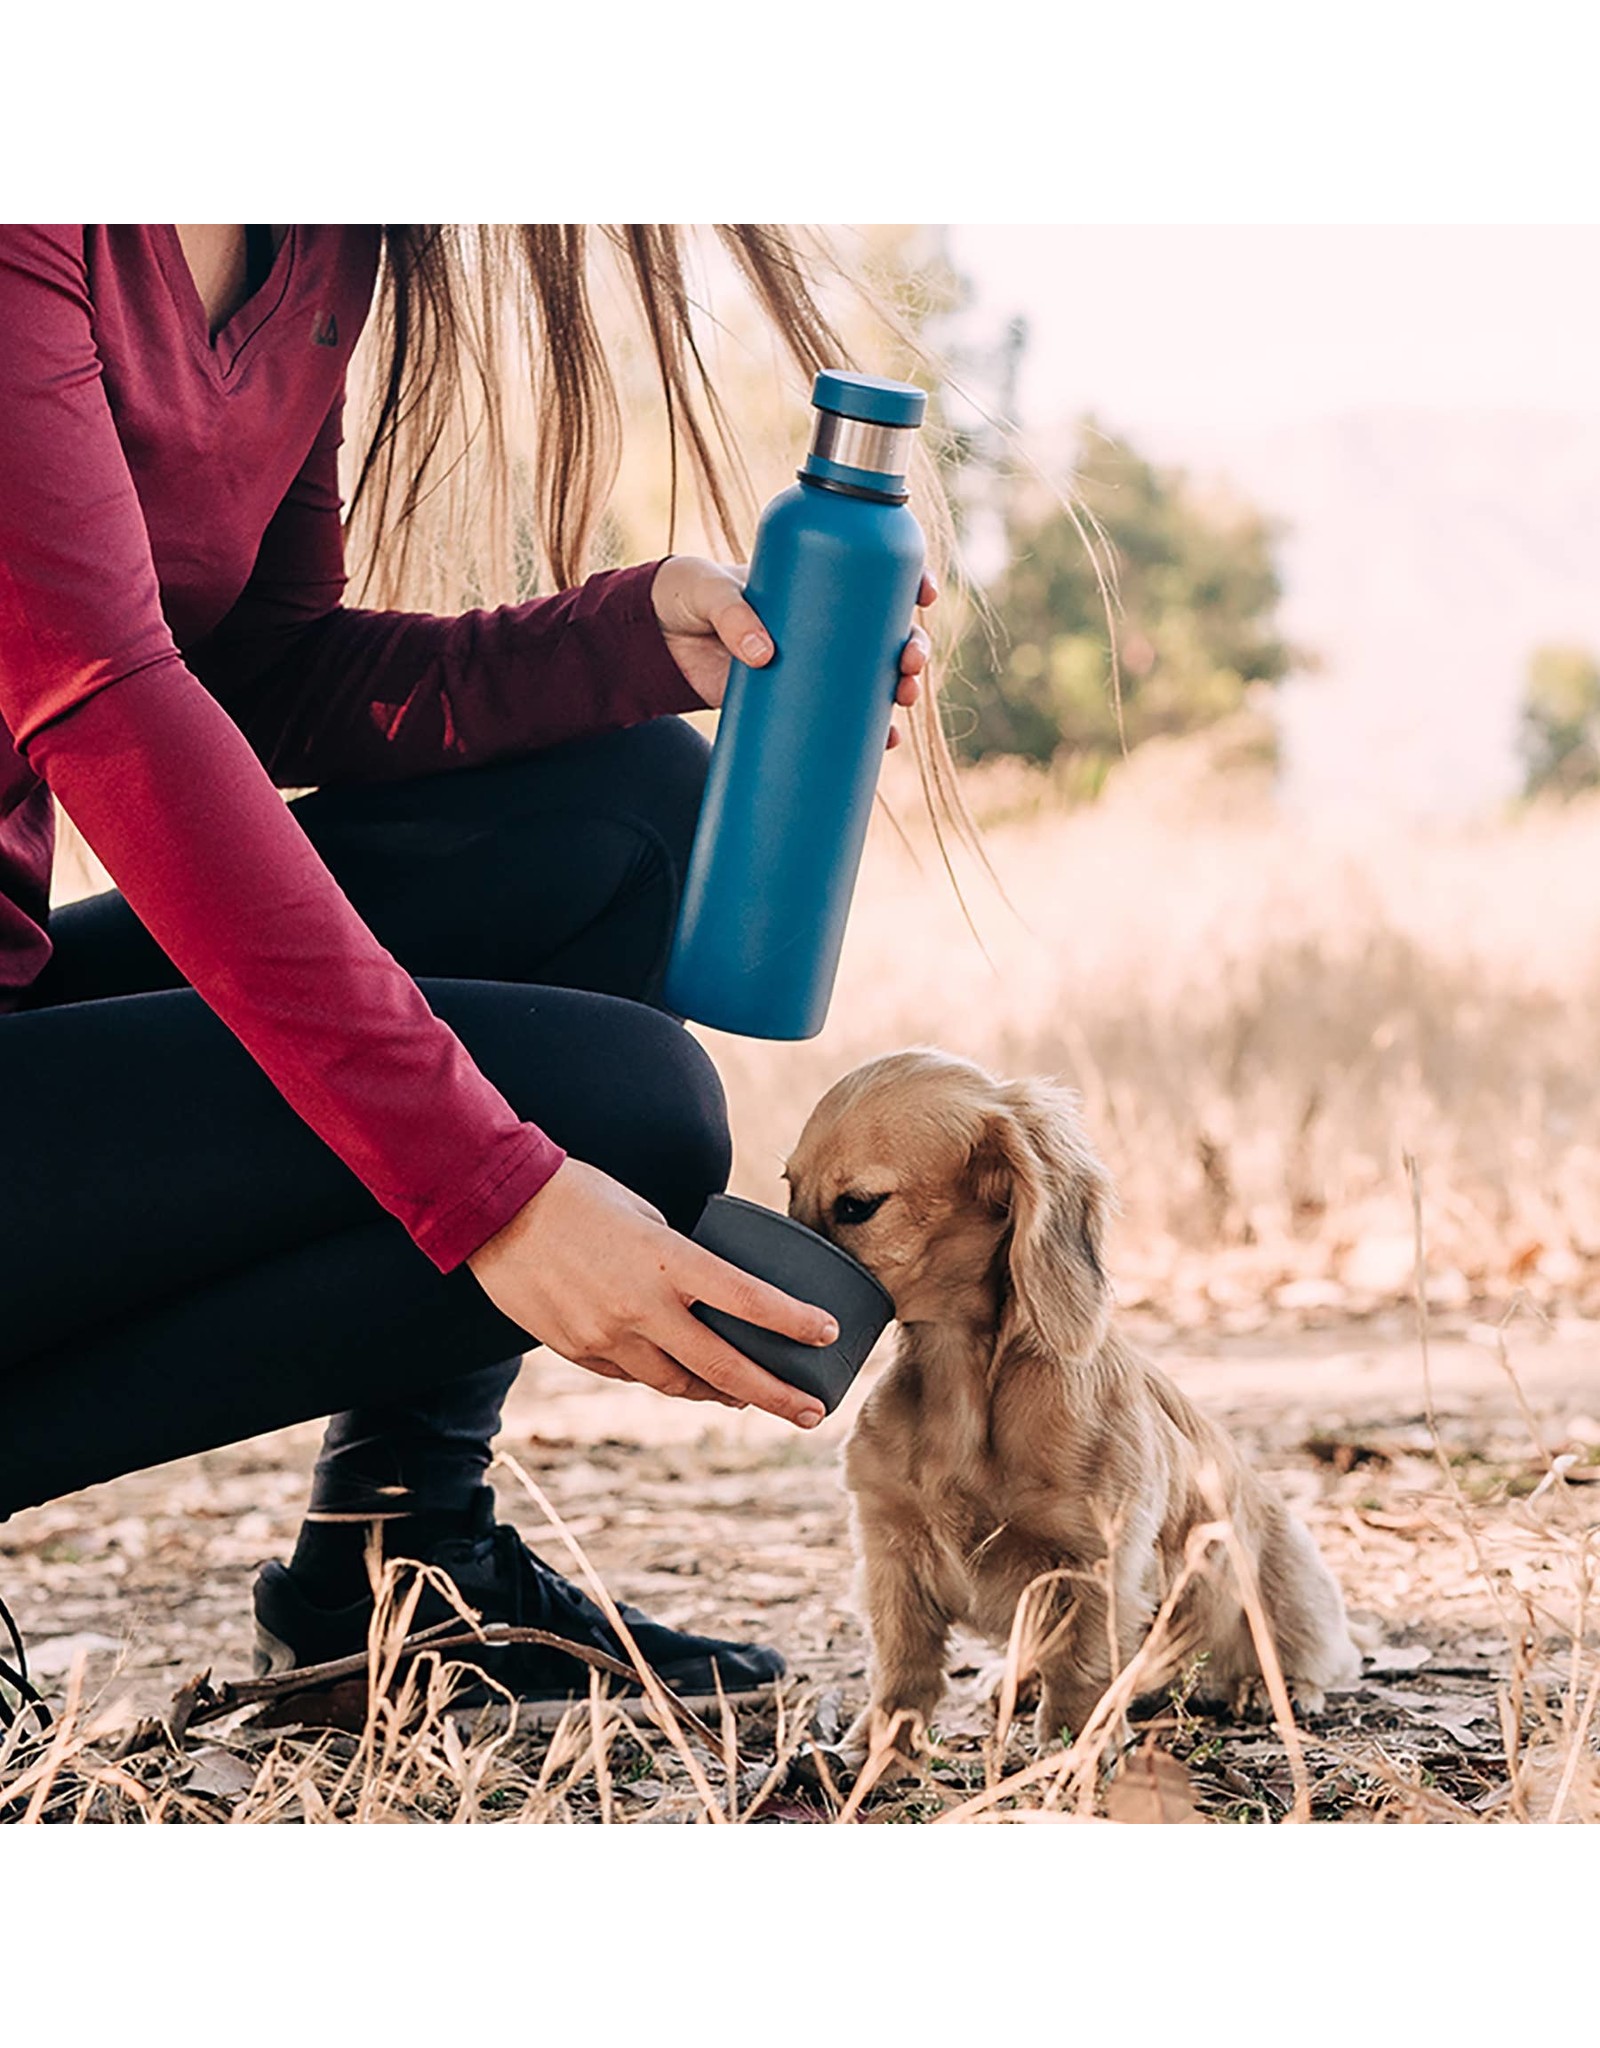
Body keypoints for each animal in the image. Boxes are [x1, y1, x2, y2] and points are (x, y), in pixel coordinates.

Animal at [778, 1056, 1352, 1761]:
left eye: (857, 1206)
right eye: (788, 1190)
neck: (964, 1388)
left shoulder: (1091, 1559)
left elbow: (1080, 1666)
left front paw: (1076, 1747)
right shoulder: (891, 1545)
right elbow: (902, 1666)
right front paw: (877, 1747)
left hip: (1285, 1590)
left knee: (1303, 1651)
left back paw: (1276, 1687)